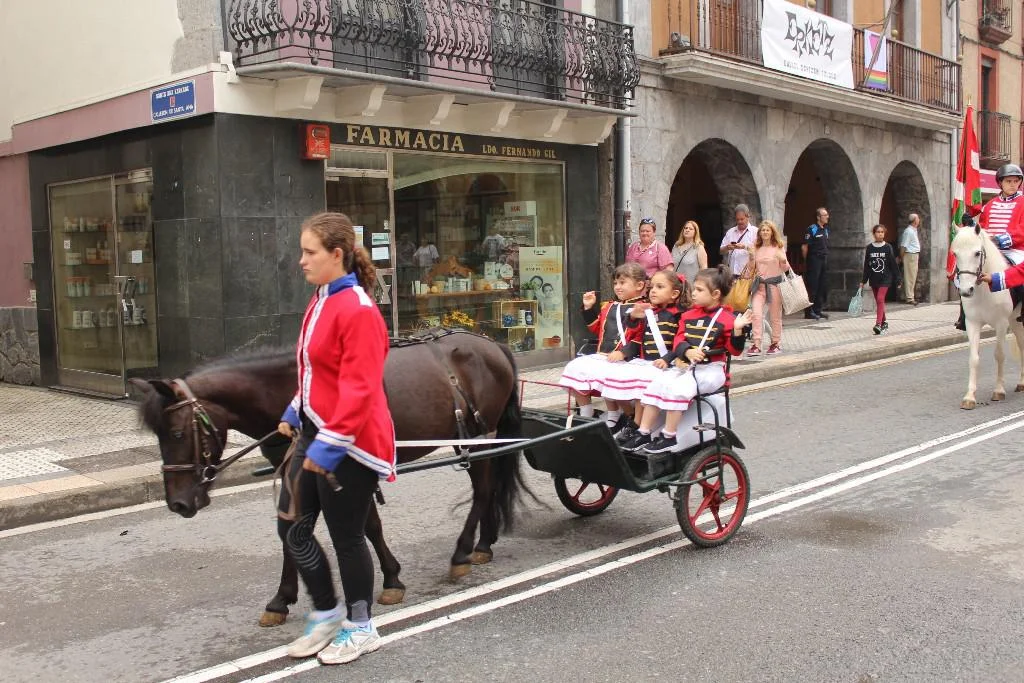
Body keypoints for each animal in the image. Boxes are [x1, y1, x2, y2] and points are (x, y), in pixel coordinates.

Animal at [132, 329, 526, 627]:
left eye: (177, 433)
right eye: (159, 436)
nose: (178, 503)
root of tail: (491, 343)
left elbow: (368, 526)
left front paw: (391, 578)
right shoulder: (299, 473)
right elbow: (293, 528)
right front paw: (281, 599)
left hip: (479, 436)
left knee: (483, 491)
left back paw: (462, 552)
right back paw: (484, 544)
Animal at [950, 225, 1024, 409]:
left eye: (977, 253)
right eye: (955, 254)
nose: (965, 290)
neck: (983, 290)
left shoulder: (1001, 323)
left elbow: (999, 354)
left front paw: (999, 391)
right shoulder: (972, 323)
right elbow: (974, 358)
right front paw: (969, 396)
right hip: (1015, 321)